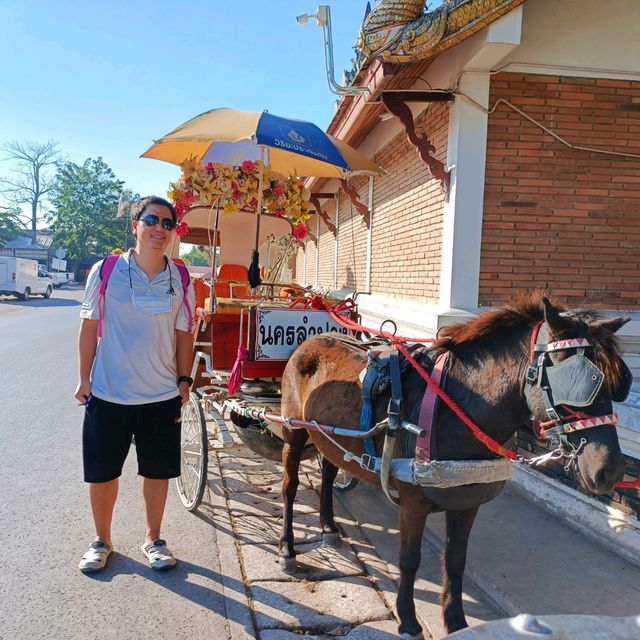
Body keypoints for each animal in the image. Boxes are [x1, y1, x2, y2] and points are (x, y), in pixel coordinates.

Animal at [278, 296, 628, 640]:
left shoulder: (467, 502)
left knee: (327, 475)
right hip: (294, 432)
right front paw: (408, 621)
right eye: (576, 381)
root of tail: (310, 341)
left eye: (618, 384)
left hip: (329, 438)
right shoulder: (413, 503)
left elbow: (456, 560)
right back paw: (288, 549)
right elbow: (410, 559)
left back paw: (328, 527)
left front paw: (457, 622)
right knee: (290, 488)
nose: (610, 469)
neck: (455, 410)